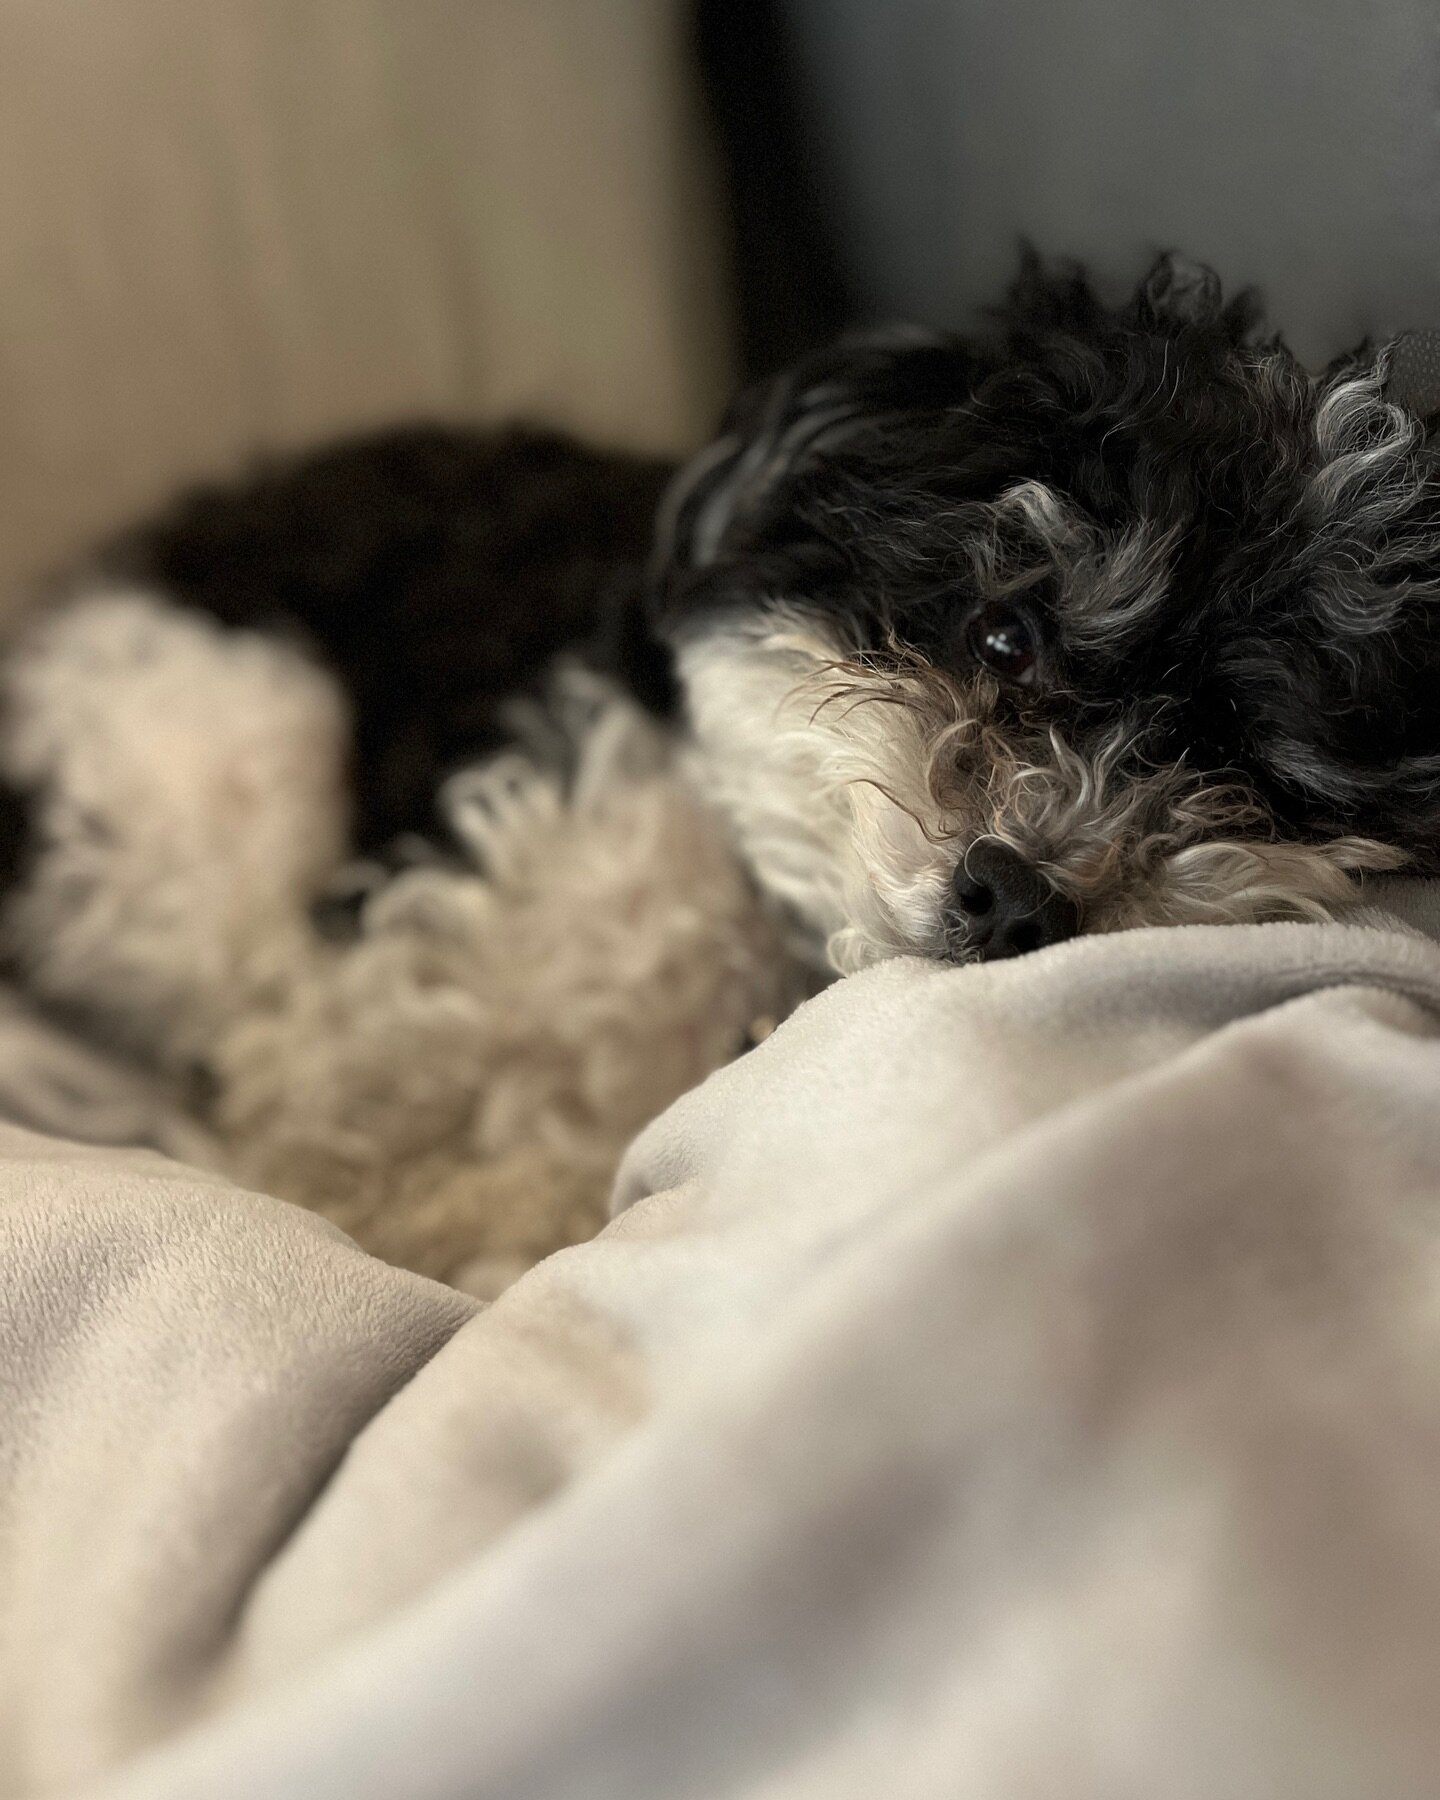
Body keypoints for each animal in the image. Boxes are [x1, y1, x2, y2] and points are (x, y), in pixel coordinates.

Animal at [2, 257, 1425, 1296]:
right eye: (1002, 632)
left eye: (1240, 766)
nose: (1016, 896)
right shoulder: (345, 1036)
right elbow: (338, 1150)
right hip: (224, 747)